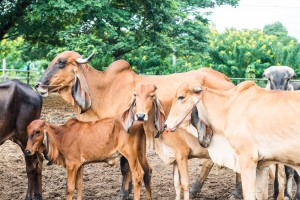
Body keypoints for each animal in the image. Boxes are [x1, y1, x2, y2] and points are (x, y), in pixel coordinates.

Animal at [34, 50, 237, 198]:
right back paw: (196, 189)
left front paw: (123, 194)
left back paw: (233, 192)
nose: (38, 85)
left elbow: (125, 168)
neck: (103, 90)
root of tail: (227, 80)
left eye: (61, 62)